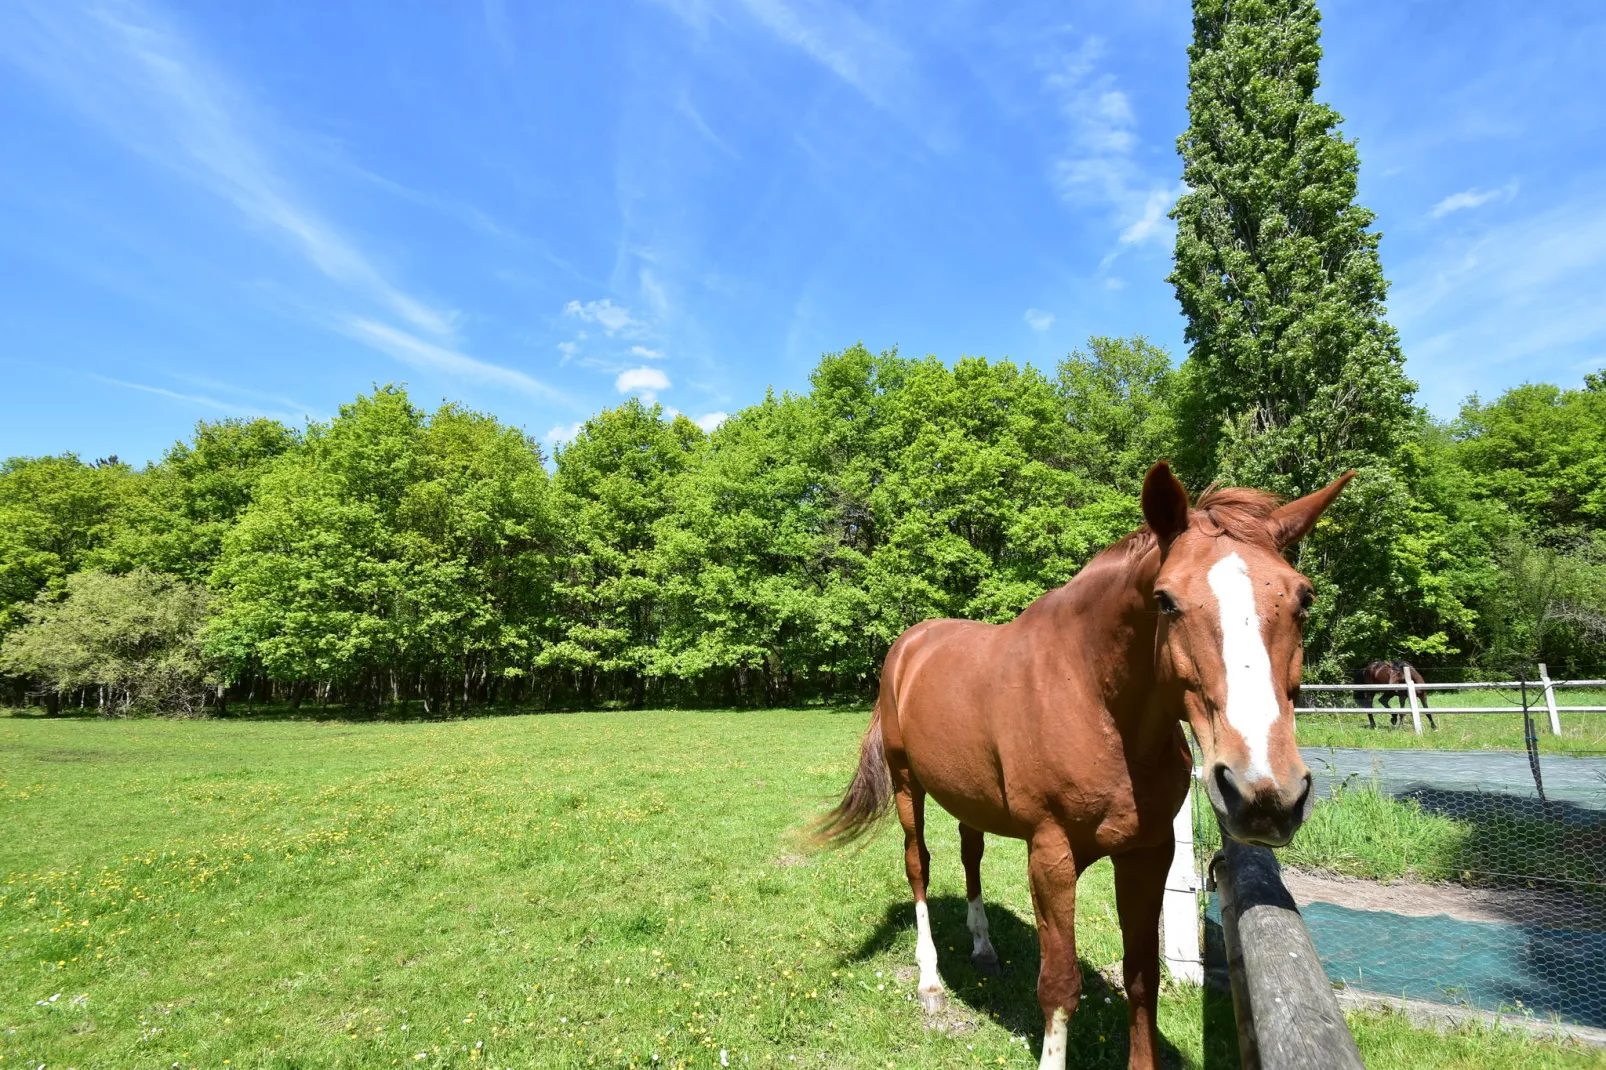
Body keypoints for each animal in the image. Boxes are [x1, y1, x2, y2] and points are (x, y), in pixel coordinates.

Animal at [815, 459, 1355, 1066]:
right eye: (1166, 600)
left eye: (1303, 599)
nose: (1265, 794)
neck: (1095, 699)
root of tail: (907, 646)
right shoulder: (1050, 855)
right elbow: (1059, 984)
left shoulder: (1149, 853)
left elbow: (1142, 976)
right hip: (909, 786)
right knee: (919, 866)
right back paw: (930, 980)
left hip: (967, 798)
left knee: (971, 858)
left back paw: (983, 949)